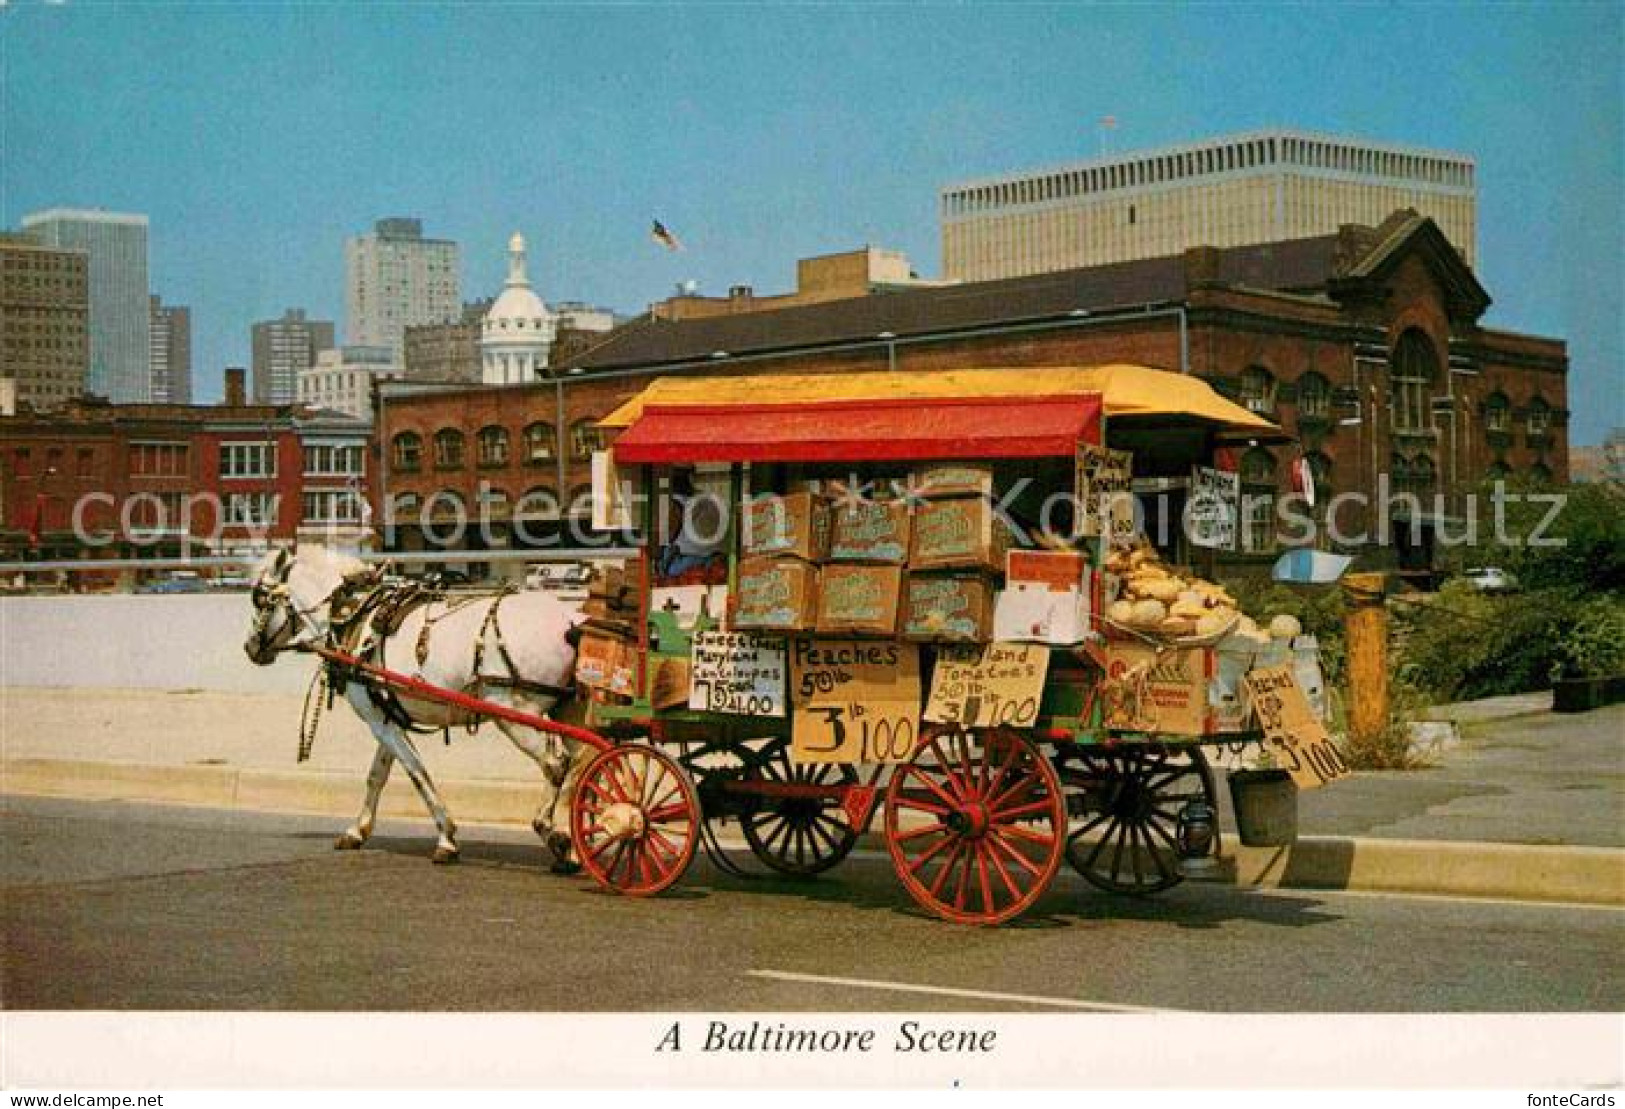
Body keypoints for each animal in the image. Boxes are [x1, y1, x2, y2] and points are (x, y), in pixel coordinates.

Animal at [243, 543, 588, 865]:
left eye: (260, 598)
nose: (249, 647)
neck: (356, 615)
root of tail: (571, 620)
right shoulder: (386, 716)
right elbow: (377, 775)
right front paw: (357, 831)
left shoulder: (376, 720)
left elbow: (416, 772)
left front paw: (446, 837)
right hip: (568, 711)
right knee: (582, 766)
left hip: (514, 712)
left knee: (556, 764)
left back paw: (553, 834)